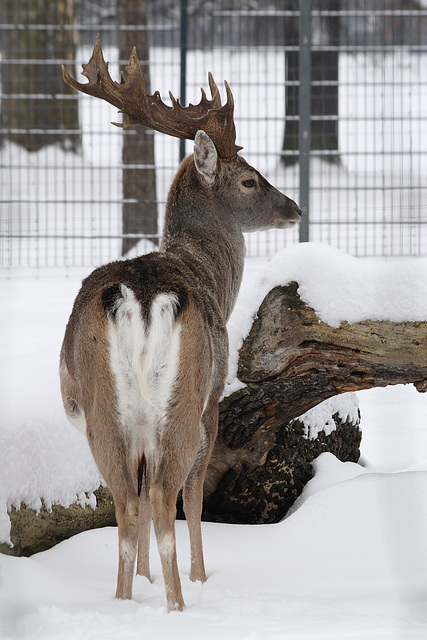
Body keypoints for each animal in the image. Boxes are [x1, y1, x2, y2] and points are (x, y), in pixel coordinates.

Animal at [60, 33, 300, 608]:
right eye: (249, 180)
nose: (296, 208)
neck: (208, 274)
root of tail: (141, 298)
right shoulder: (213, 398)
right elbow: (193, 498)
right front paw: (199, 576)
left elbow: (143, 500)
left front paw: (146, 581)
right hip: (185, 396)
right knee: (169, 496)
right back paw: (178, 603)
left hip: (102, 409)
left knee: (128, 504)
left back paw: (126, 601)